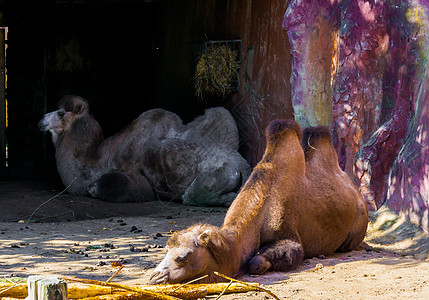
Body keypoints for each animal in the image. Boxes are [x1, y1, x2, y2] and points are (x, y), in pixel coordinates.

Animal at [150, 119, 368, 284]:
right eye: (167, 250)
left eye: (182, 257)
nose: (153, 276)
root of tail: (357, 194)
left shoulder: (289, 233)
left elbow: (261, 261)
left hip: (359, 221)